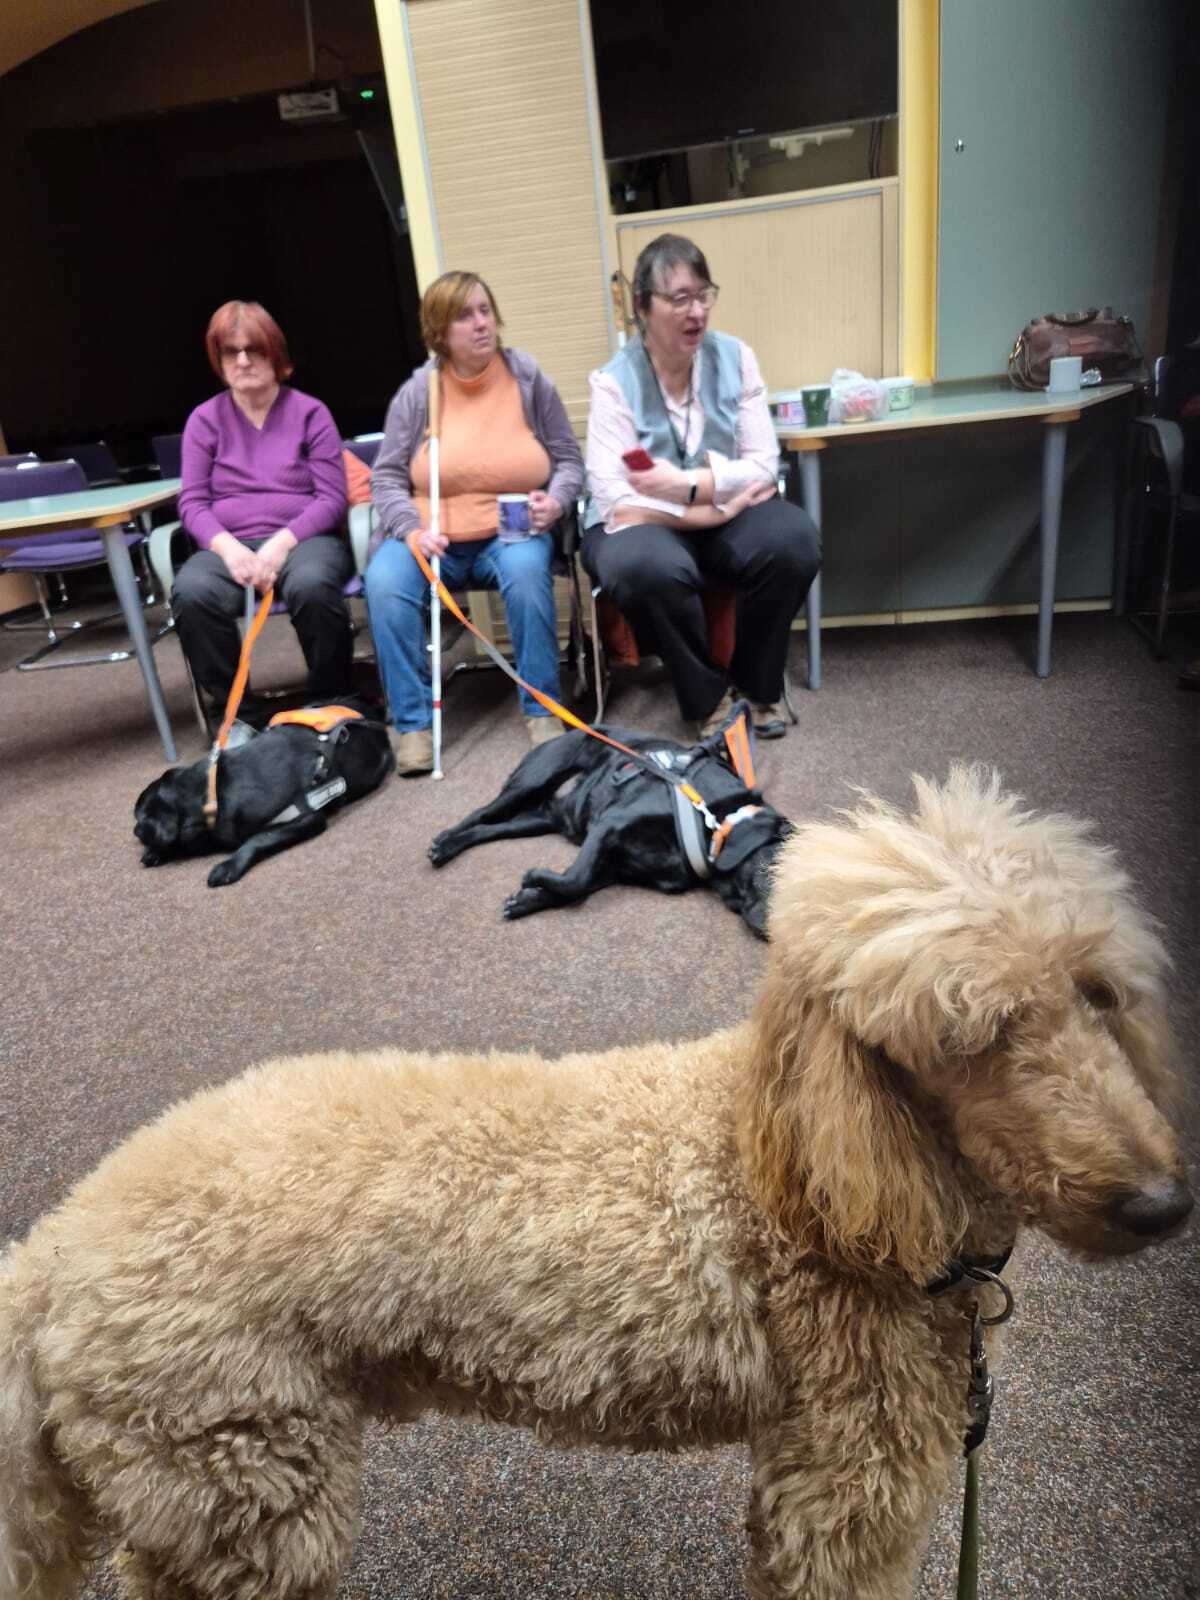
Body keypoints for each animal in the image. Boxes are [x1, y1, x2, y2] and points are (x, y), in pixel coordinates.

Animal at [3, 768, 1191, 1599]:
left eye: (1099, 993)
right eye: (971, 1038)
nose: (1162, 1203)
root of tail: (51, 1254)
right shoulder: (844, 1480)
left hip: (202, 1495)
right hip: (245, 1480)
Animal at [133, 698, 394, 887]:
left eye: (138, 818)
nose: (135, 831)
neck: (212, 792)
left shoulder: (307, 817)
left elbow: (258, 839)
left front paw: (228, 866)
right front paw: (155, 852)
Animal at [429, 702, 793, 936]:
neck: (715, 820)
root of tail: (584, 726)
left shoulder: (614, 866)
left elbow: (575, 885)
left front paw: (527, 899)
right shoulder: (610, 823)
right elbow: (575, 878)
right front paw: (534, 877)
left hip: (543, 816)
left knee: (493, 827)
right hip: (534, 778)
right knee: (482, 812)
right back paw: (443, 845)